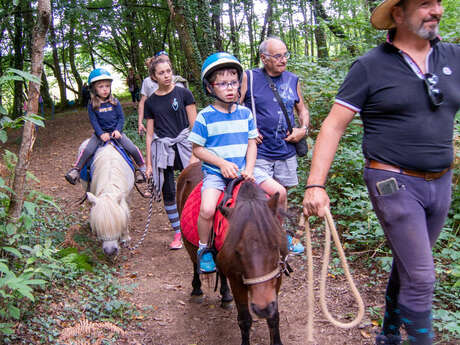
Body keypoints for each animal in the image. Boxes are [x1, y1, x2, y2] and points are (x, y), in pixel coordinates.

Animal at [176, 162, 288, 344]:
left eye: (275, 245)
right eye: (238, 251)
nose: (262, 307)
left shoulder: (276, 275)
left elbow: (273, 317)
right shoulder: (237, 281)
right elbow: (245, 319)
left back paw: (225, 296)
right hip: (189, 241)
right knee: (195, 262)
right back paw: (197, 290)